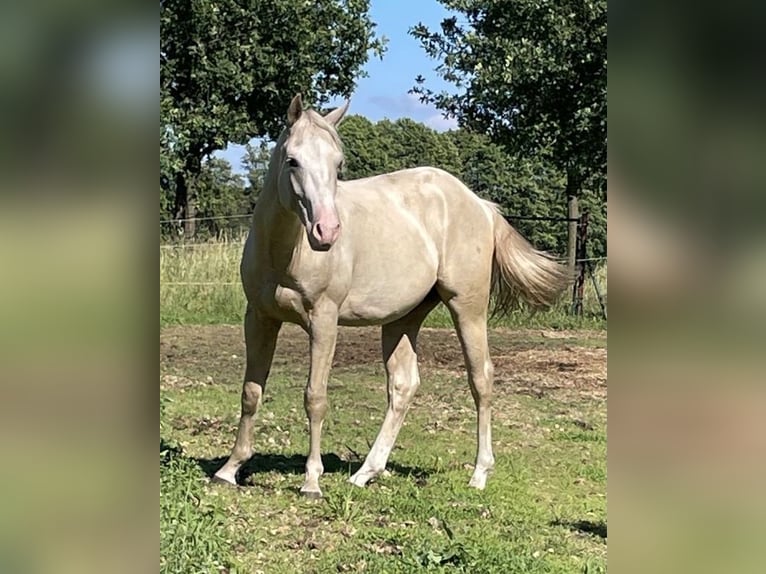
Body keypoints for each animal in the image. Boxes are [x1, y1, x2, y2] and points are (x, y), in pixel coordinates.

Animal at [212, 94, 568, 500]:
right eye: (293, 160)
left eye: (338, 163)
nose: (327, 231)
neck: (285, 252)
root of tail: (480, 204)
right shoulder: (259, 318)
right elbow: (251, 392)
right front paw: (230, 469)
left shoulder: (324, 321)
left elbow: (315, 397)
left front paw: (311, 481)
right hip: (403, 317)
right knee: (403, 385)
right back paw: (366, 472)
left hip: (468, 308)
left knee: (481, 379)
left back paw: (478, 474)